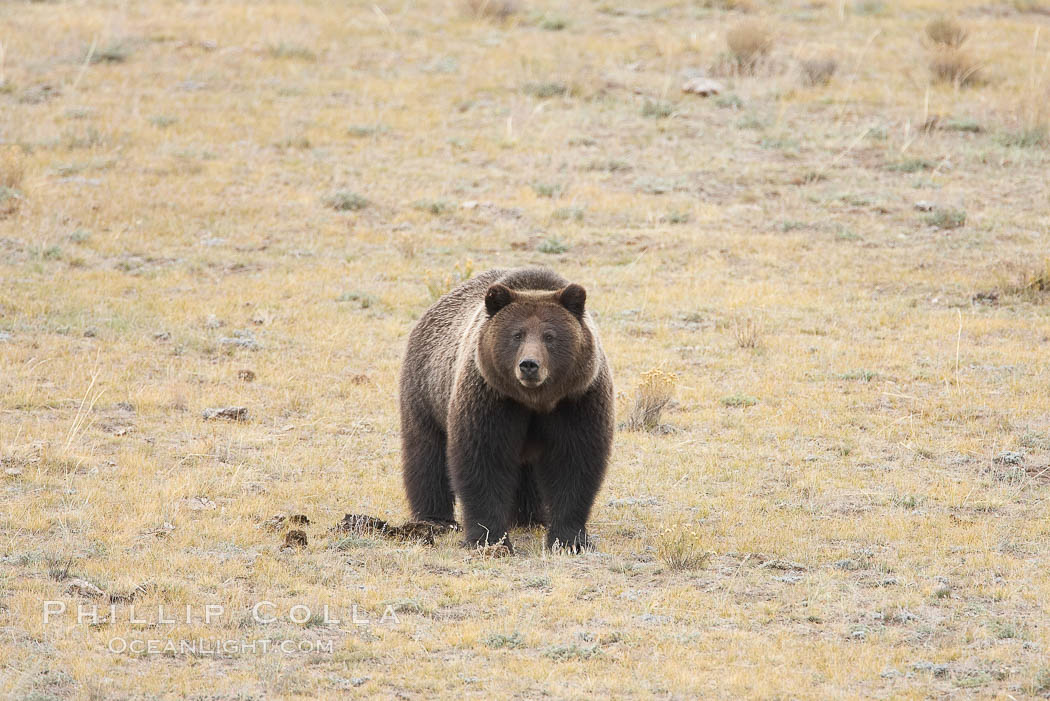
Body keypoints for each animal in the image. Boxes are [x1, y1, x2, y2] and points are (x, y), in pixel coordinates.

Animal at [399, 267, 613, 553]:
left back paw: (531, 516)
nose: (529, 365)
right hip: (427, 393)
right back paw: (435, 519)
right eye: (517, 334)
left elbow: (574, 465)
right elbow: (483, 462)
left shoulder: (577, 401)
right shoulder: (490, 399)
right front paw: (489, 539)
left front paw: (570, 540)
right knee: (426, 454)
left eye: (549, 336)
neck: (534, 400)